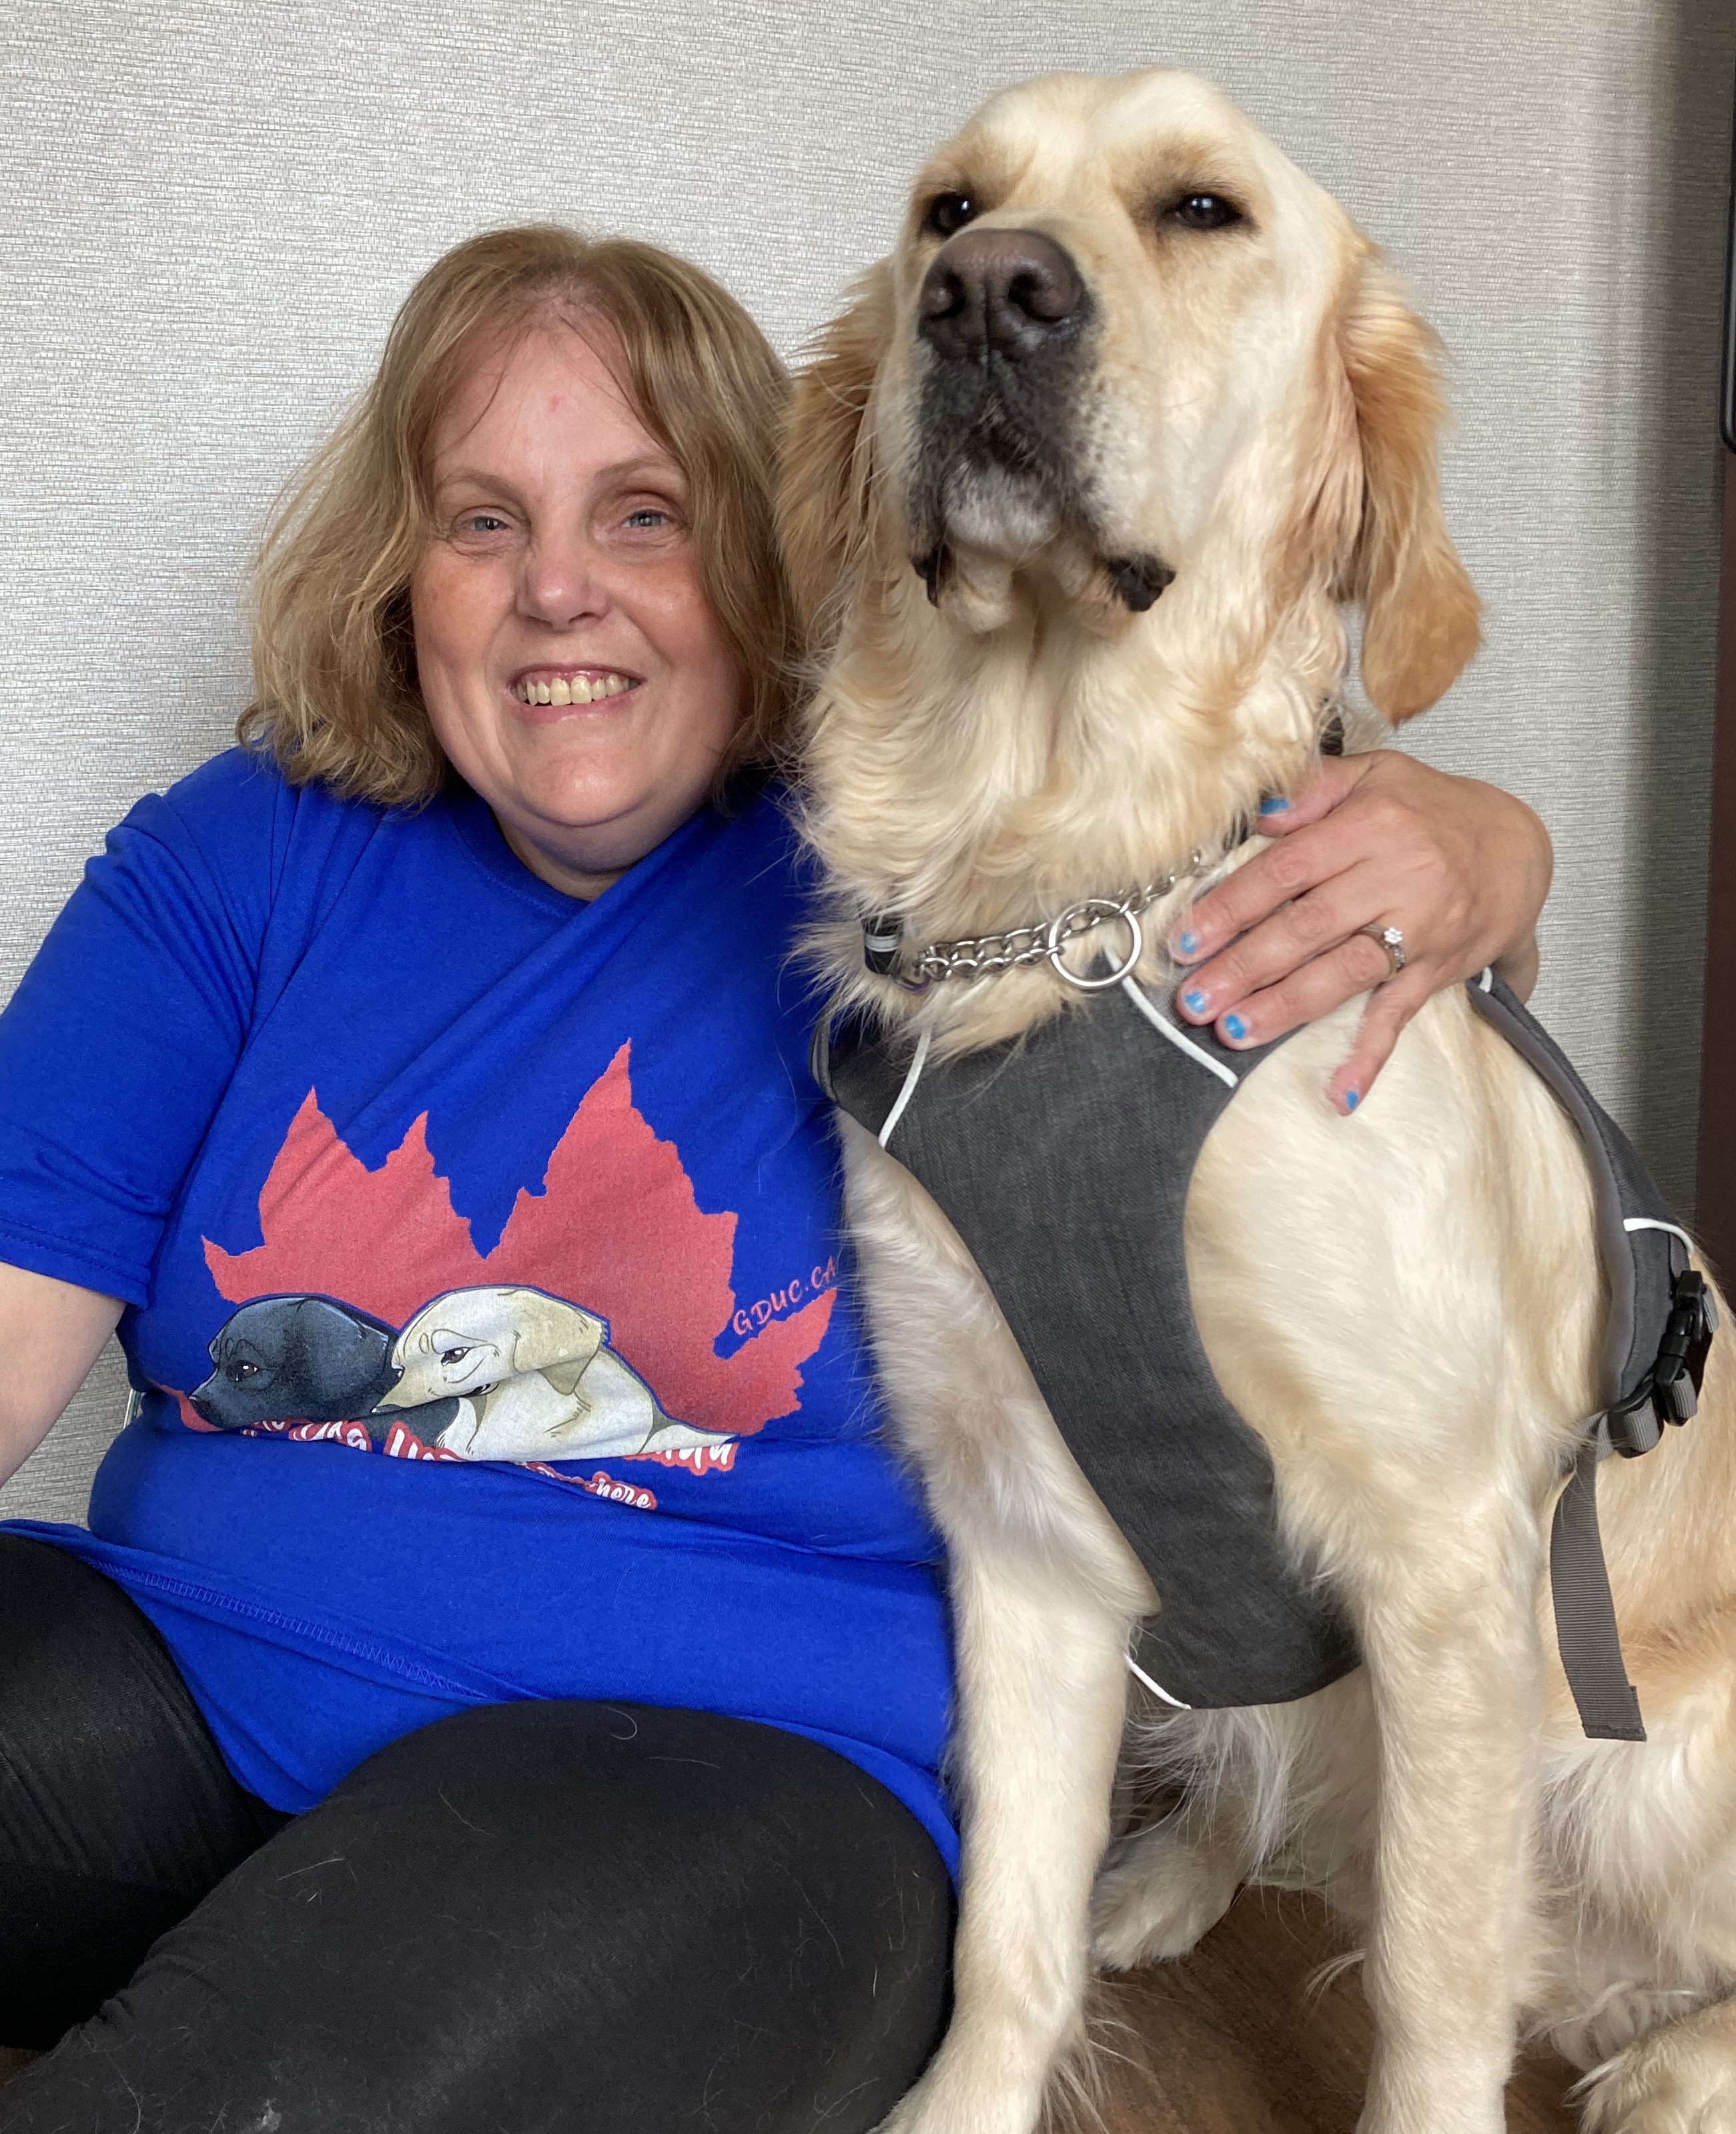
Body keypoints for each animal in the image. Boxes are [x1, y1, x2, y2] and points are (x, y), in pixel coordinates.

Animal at [780, 62, 1736, 2134]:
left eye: (1200, 210)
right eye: (944, 206)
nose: (984, 296)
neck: (1068, 894)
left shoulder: (1449, 1554)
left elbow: (1440, 1984)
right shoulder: (1020, 1529)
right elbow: (1004, 1933)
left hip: (1646, 1753)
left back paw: (1675, 2062)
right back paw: (1167, 1876)